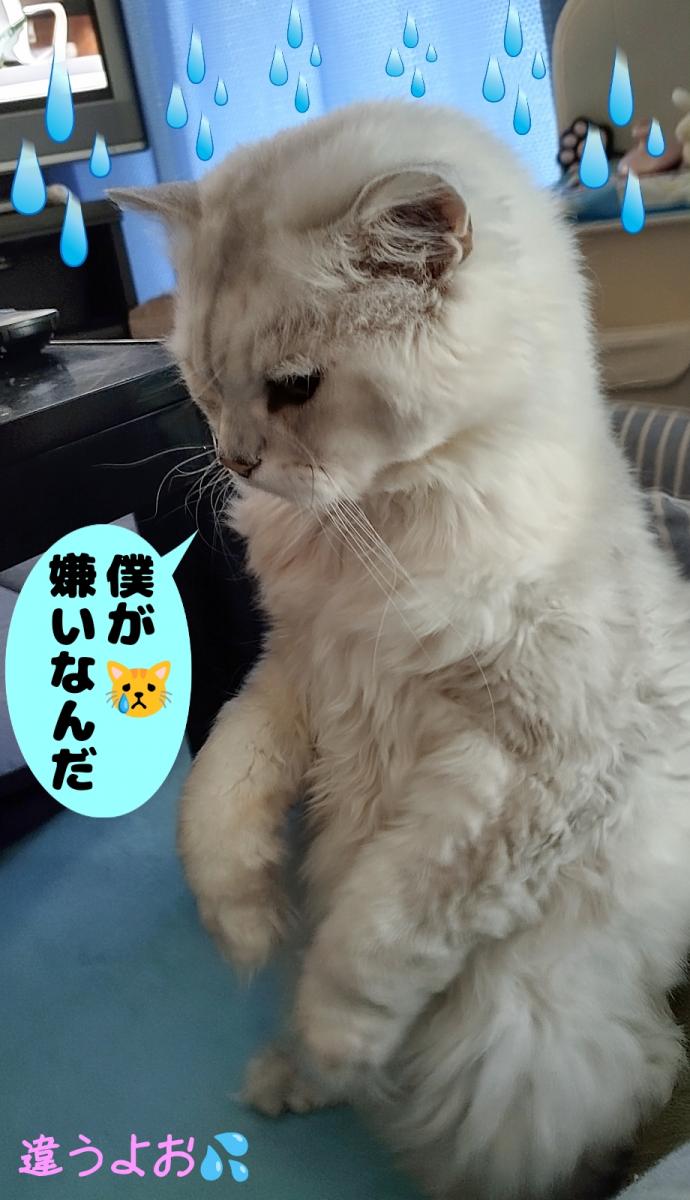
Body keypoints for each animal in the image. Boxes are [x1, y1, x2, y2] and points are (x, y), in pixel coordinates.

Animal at [111, 100, 690, 1200]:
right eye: (203, 383)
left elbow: (374, 933)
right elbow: (216, 797)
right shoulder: (298, 672)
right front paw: (243, 926)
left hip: (514, 1041)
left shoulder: (522, 777)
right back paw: (282, 1077)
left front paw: (333, 1022)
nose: (235, 458)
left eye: (295, 389)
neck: (373, 528)